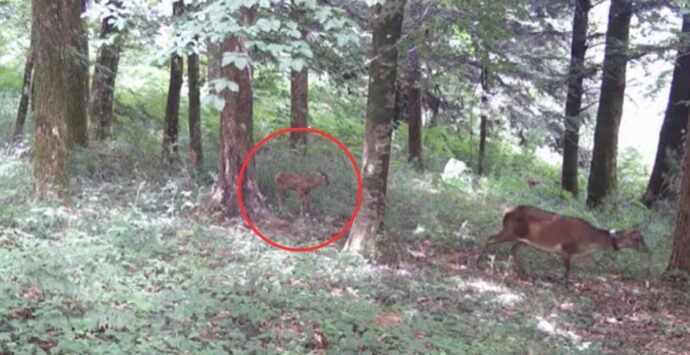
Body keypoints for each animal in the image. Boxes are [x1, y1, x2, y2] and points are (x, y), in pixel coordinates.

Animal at [476, 206, 648, 286]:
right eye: (638, 238)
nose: (647, 249)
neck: (589, 240)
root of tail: (507, 214)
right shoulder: (567, 248)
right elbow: (567, 268)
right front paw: (566, 284)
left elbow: (593, 265)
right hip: (511, 231)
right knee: (490, 238)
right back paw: (478, 262)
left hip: (523, 239)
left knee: (514, 250)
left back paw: (527, 273)